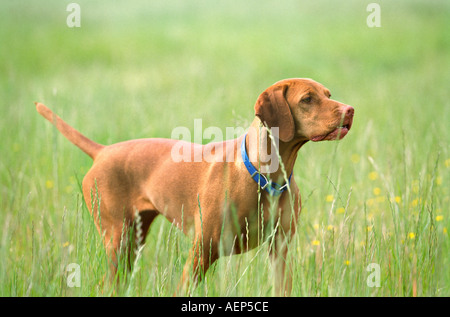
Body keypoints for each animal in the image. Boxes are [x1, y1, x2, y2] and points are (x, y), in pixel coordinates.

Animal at [36, 78, 356, 294]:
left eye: (328, 95)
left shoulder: (280, 249)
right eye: (308, 99)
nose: (350, 110)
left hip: (134, 240)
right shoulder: (202, 250)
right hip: (118, 240)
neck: (266, 176)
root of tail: (102, 151)